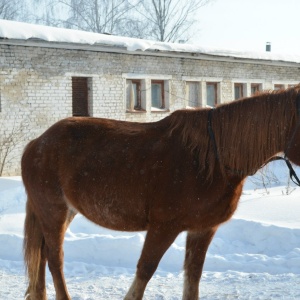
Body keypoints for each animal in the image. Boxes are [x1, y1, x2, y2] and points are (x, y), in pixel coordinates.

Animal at [22, 85, 300, 298]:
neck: (213, 160)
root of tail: (36, 143)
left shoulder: (203, 229)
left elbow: (193, 276)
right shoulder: (163, 227)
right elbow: (145, 270)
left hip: (65, 212)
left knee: (44, 257)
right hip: (53, 211)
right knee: (55, 259)